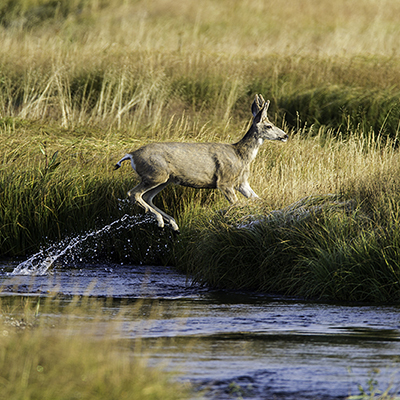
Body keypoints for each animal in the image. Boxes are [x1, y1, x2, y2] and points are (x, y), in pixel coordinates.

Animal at [115, 95, 288, 233]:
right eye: (269, 126)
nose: (285, 135)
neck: (240, 155)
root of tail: (131, 155)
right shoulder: (224, 181)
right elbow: (237, 204)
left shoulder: (242, 182)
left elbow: (259, 200)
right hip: (156, 174)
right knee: (133, 193)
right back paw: (160, 221)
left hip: (163, 179)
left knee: (147, 197)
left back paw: (173, 224)